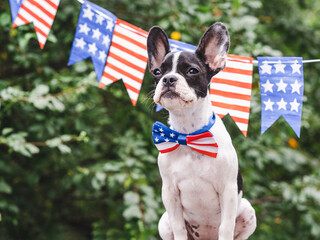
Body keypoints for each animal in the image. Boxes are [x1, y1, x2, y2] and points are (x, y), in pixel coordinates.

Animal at [148, 23, 258, 240]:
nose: (168, 79)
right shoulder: (170, 192)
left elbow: (226, 227)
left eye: (192, 70)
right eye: (157, 72)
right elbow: (179, 227)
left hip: (248, 211)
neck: (189, 134)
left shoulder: (228, 190)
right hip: (163, 222)